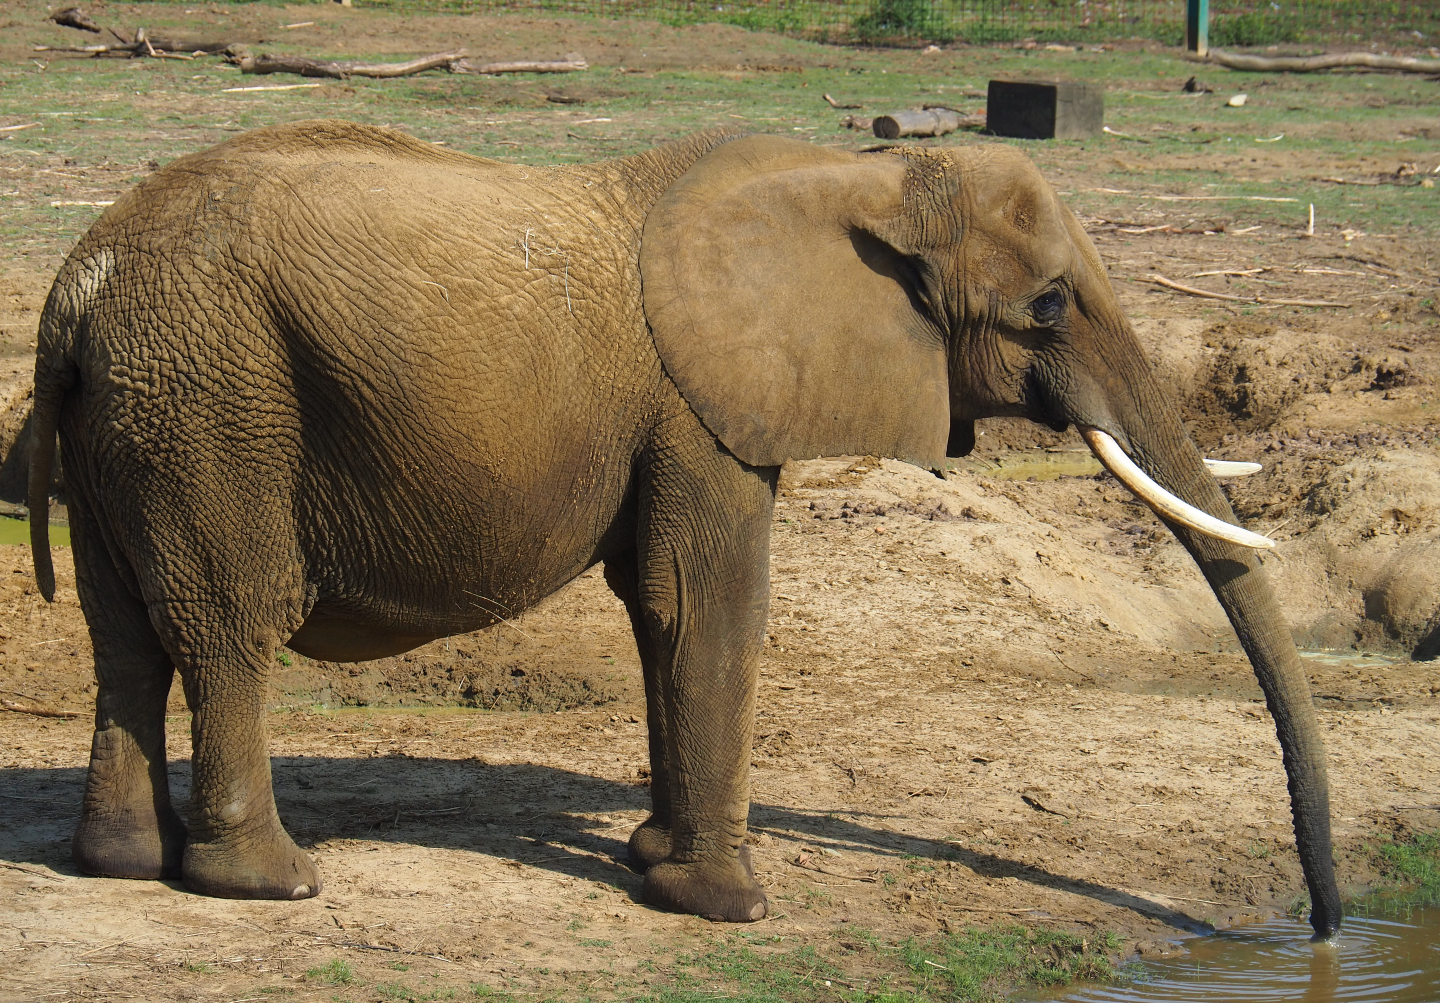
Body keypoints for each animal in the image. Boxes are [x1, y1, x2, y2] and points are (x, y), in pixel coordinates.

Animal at [29, 120, 1341, 936]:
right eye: (1052, 307)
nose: (1326, 925)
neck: (857, 176)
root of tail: (75, 286)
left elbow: (663, 611)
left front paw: (650, 864)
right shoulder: (700, 403)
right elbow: (707, 602)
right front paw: (730, 908)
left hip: (139, 417)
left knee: (126, 637)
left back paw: (124, 863)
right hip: (211, 402)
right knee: (230, 628)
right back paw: (273, 884)